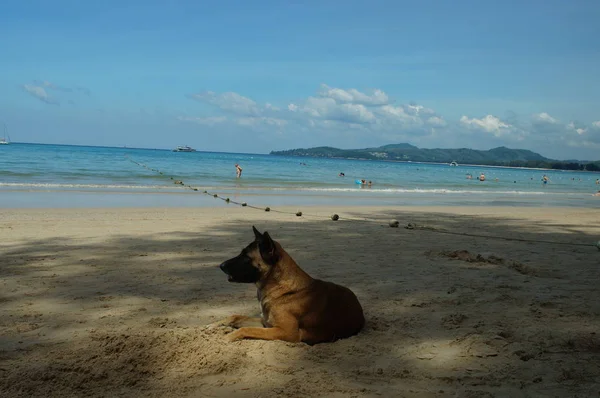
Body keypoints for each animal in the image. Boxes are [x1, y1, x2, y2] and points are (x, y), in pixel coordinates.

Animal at [218, 227, 364, 346]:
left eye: (246, 258)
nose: (221, 266)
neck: (280, 288)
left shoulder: (286, 332)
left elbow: (246, 328)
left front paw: (227, 336)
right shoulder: (266, 323)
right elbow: (236, 317)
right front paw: (217, 324)